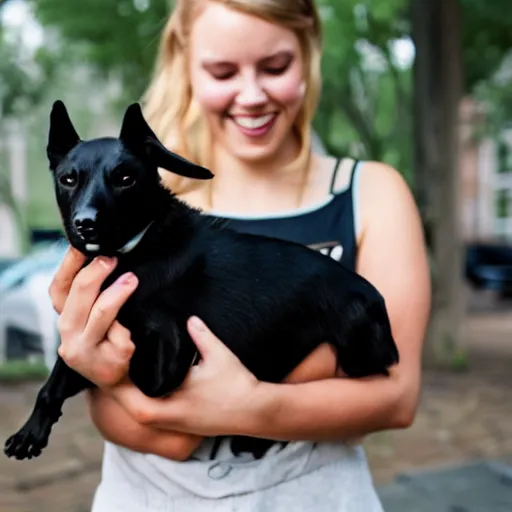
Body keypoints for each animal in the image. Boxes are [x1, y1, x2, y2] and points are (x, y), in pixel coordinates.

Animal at [4, 99, 400, 460]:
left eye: (126, 179)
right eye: (68, 179)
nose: (85, 223)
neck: (138, 250)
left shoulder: (171, 348)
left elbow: (139, 379)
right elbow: (58, 375)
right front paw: (31, 430)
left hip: (359, 350)